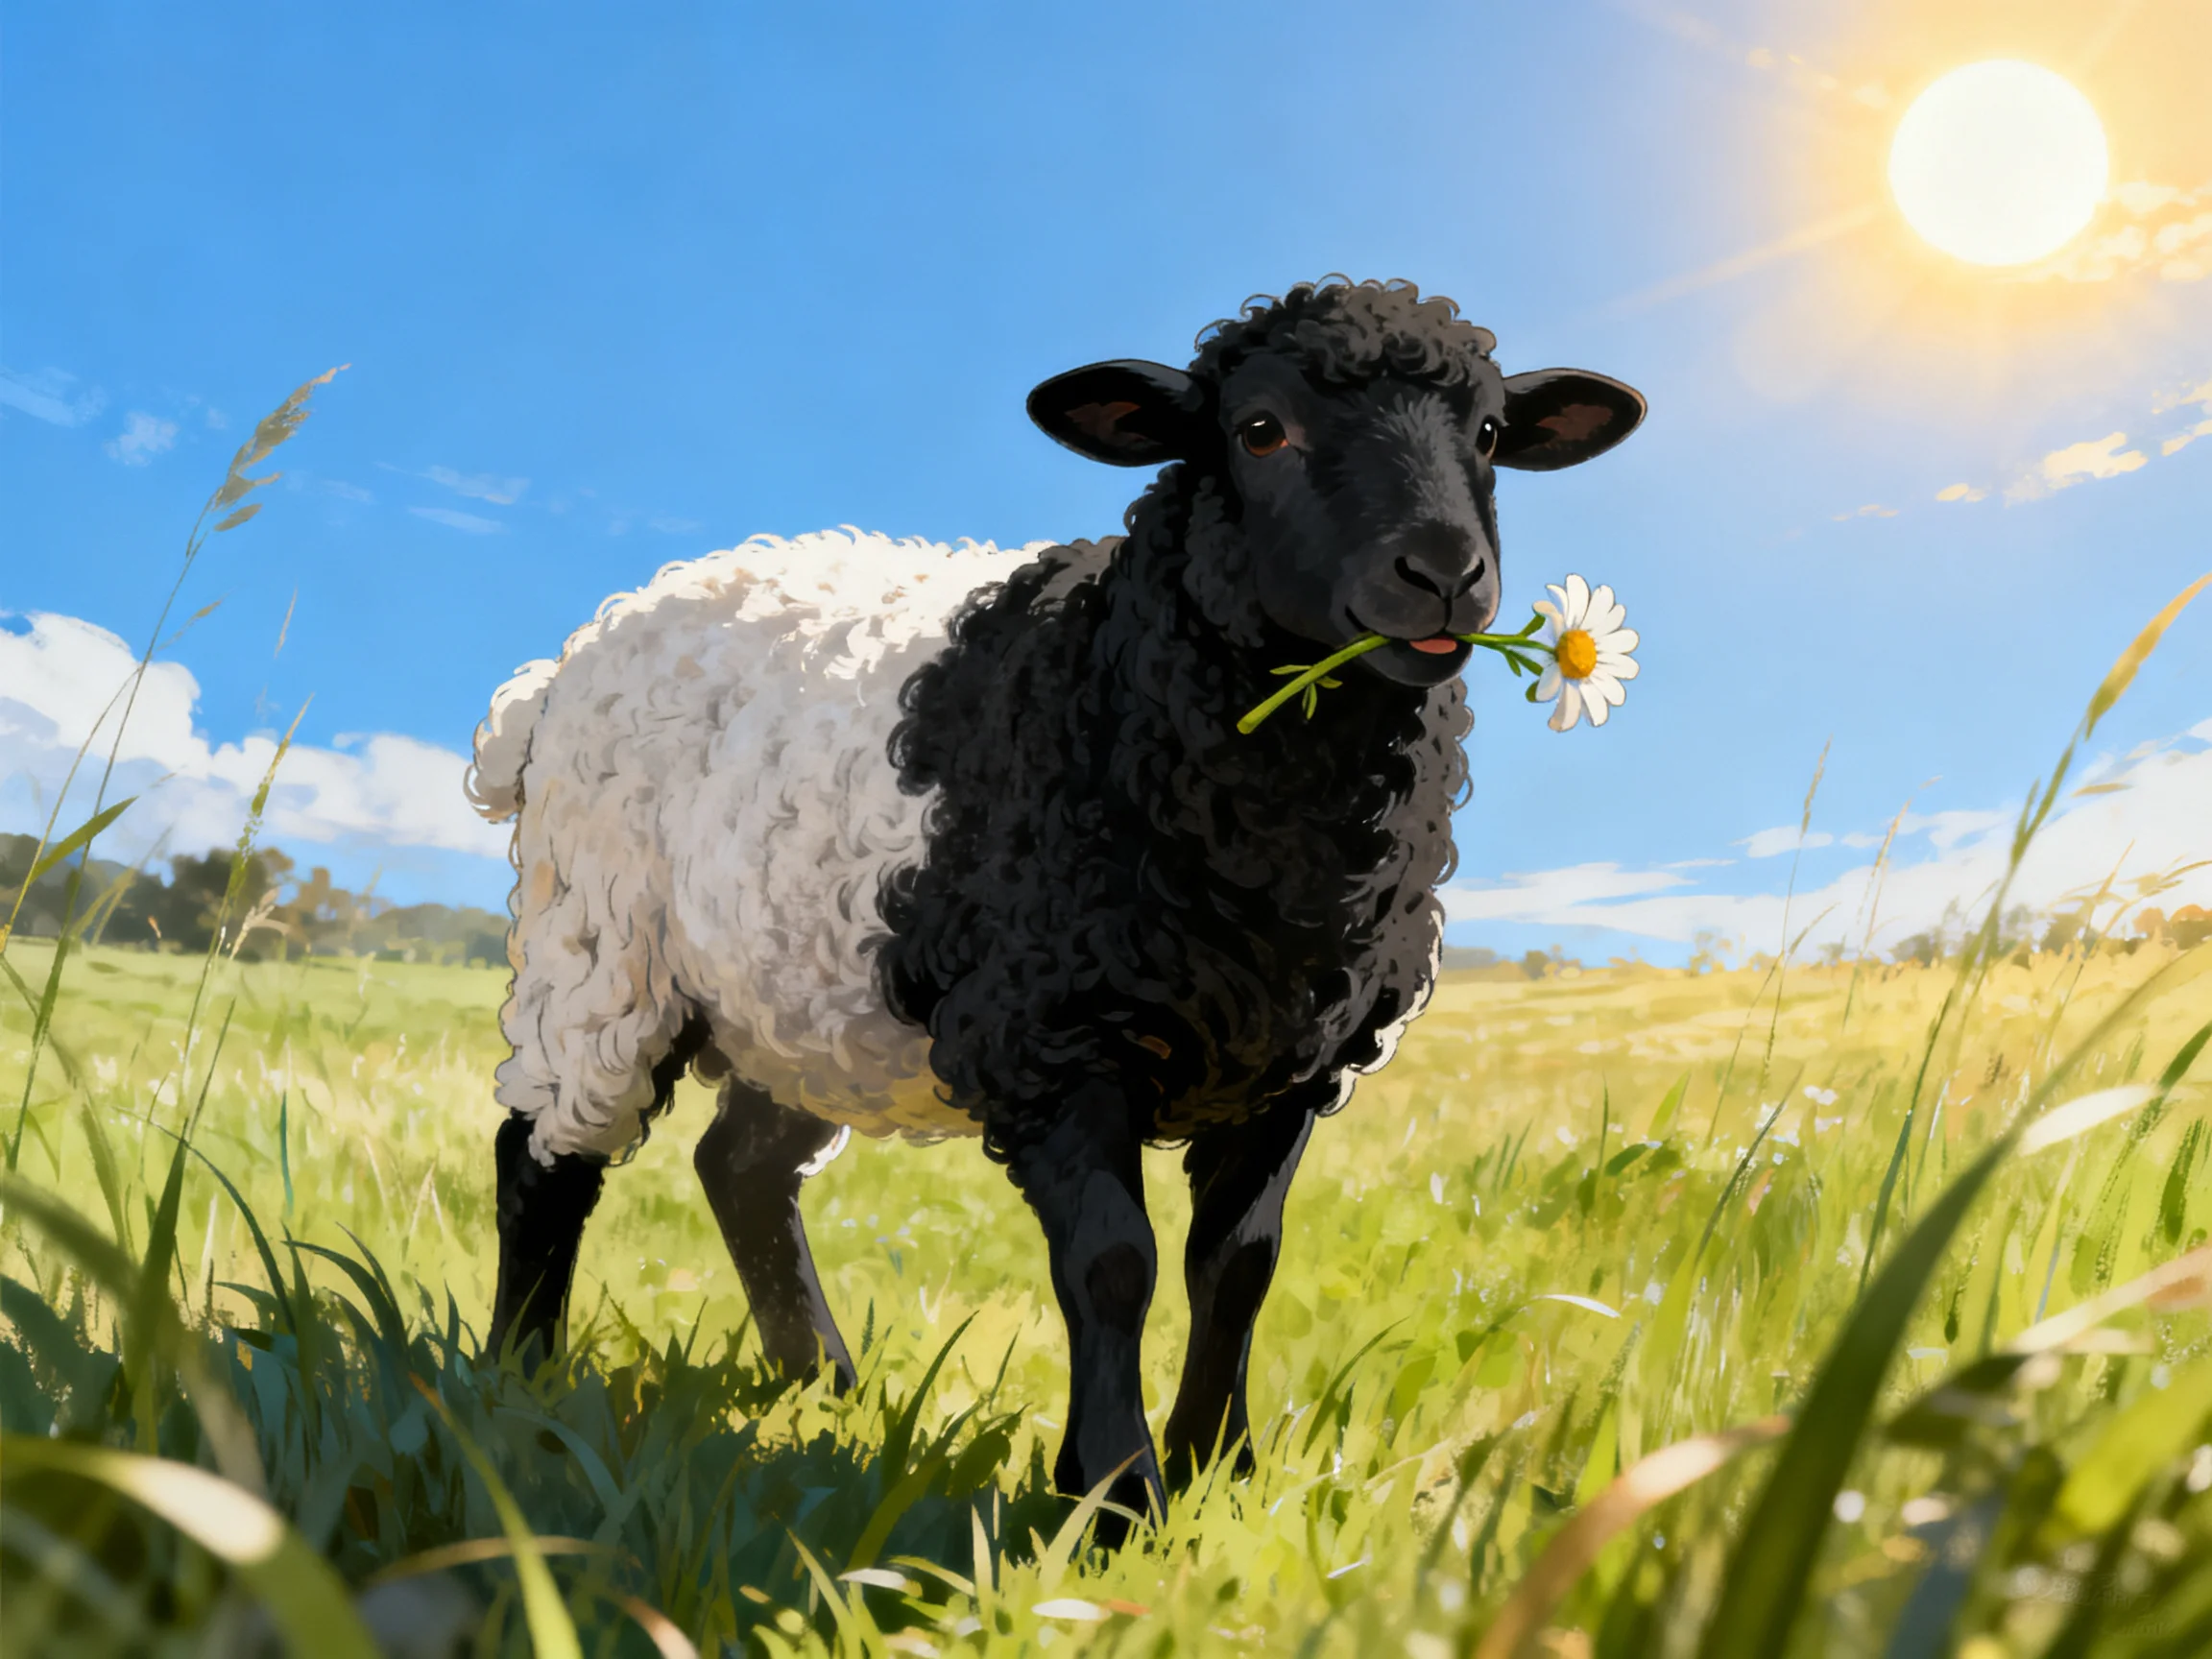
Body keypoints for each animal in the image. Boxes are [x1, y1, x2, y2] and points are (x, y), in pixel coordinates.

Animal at [472, 277, 1644, 1526]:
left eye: (1490, 435)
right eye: (1259, 430)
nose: (1442, 574)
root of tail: (560, 670)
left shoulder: (1293, 1057)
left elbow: (1239, 1266)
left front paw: (1218, 1471)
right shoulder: (1056, 1034)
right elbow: (1113, 1263)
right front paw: (1116, 1501)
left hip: (802, 997)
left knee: (739, 1168)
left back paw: (822, 1384)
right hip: (600, 940)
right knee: (542, 1159)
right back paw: (519, 1387)